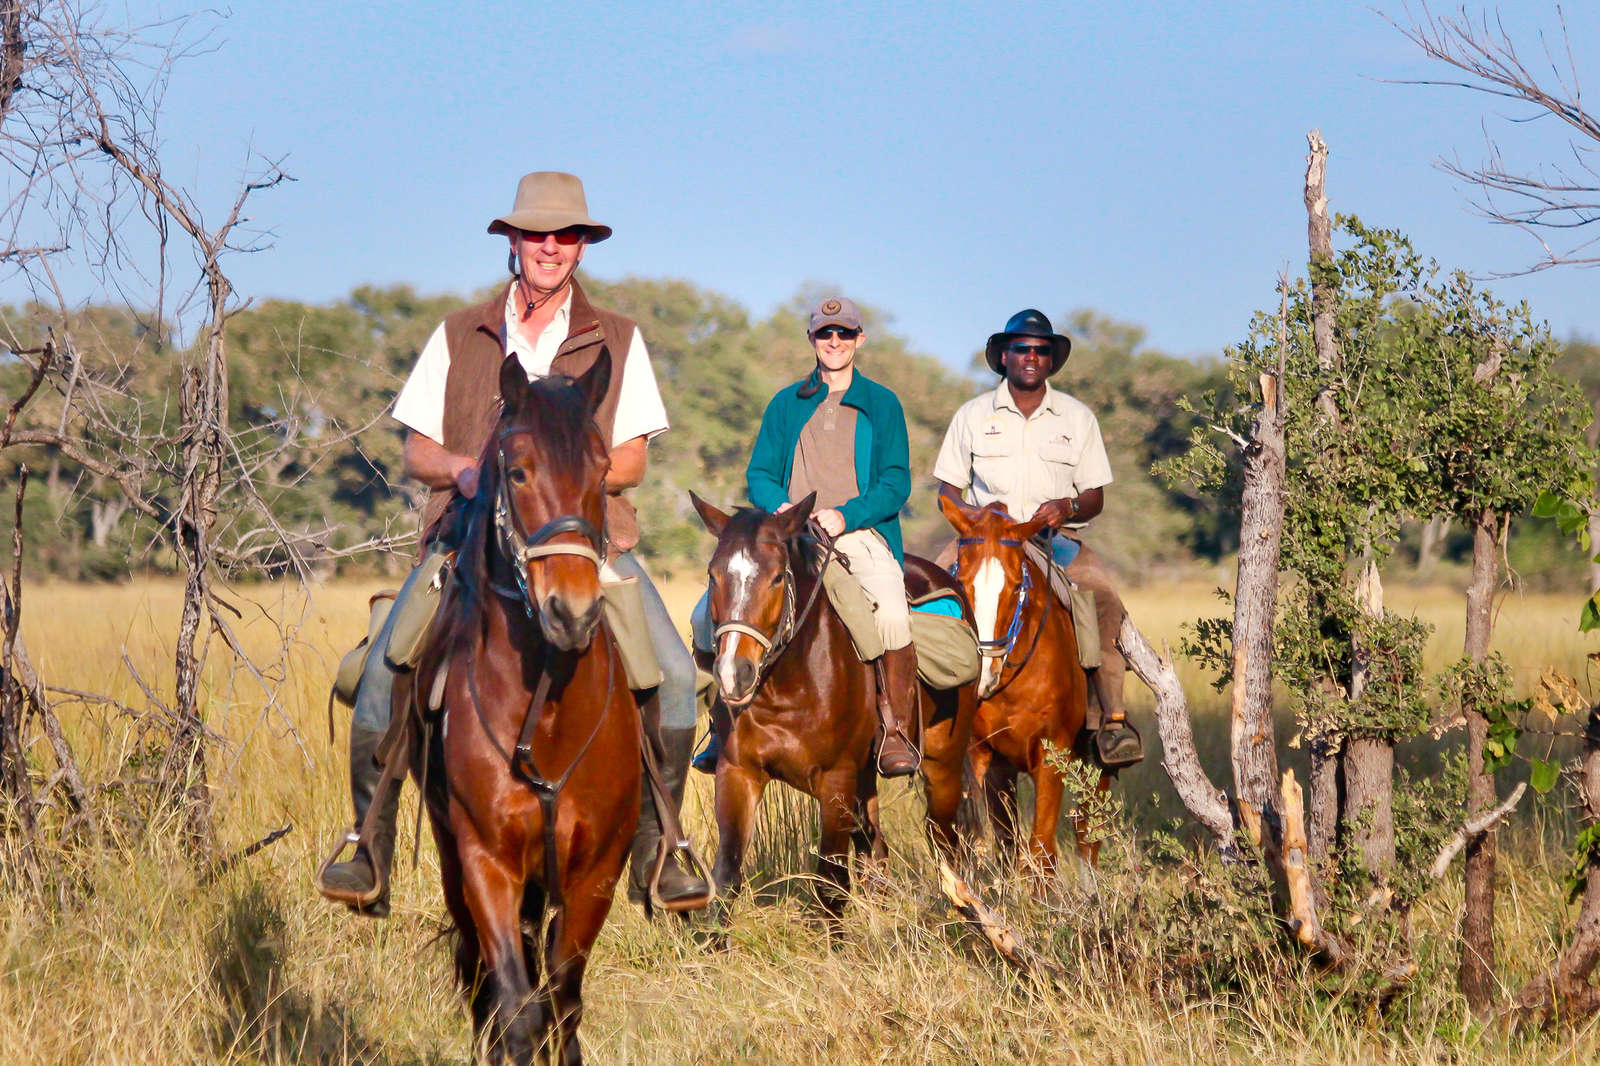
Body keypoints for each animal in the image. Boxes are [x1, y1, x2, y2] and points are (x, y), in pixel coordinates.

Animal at [406, 352, 636, 1056]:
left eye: (602, 471)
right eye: (517, 471)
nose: (572, 612)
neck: (548, 710)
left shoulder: (596, 871)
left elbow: (563, 1001)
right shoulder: (487, 862)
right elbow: (514, 1006)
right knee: (483, 984)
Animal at [688, 492, 972, 921]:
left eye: (777, 577)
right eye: (712, 575)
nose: (734, 674)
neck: (786, 687)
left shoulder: (835, 780)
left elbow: (831, 884)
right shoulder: (738, 772)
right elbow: (726, 878)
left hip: (943, 765)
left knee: (944, 843)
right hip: (866, 778)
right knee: (876, 852)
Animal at [940, 492, 1107, 870]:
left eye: (1018, 586)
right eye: (962, 583)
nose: (984, 673)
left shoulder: (1053, 756)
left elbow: (1041, 852)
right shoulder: (989, 760)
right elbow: (1006, 847)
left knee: (1090, 835)